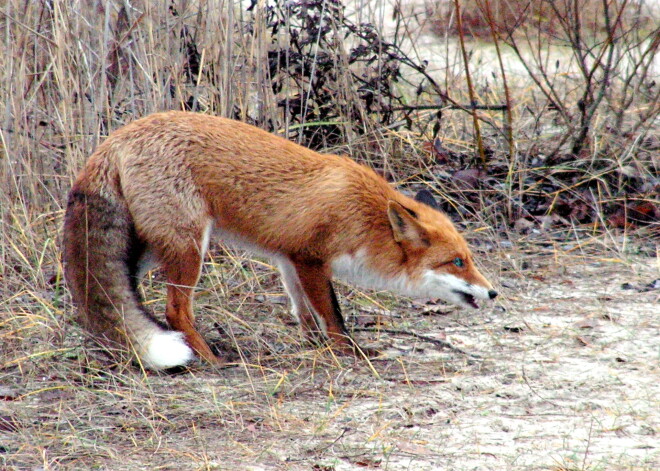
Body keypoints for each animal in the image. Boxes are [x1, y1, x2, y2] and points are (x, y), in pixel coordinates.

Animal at [64, 112, 498, 370]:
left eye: (469, 258)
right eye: (457, 262)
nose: (494, 293)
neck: (366, 215)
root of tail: (117, 137)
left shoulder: (289, 258)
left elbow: (304, 313)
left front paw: (315, 347)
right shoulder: (311, 259)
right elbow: (333, 315)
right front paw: (348, 352)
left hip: (148, 251)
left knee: (105, 299)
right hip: (189, 249)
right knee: (175, 312)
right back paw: (211, 360)